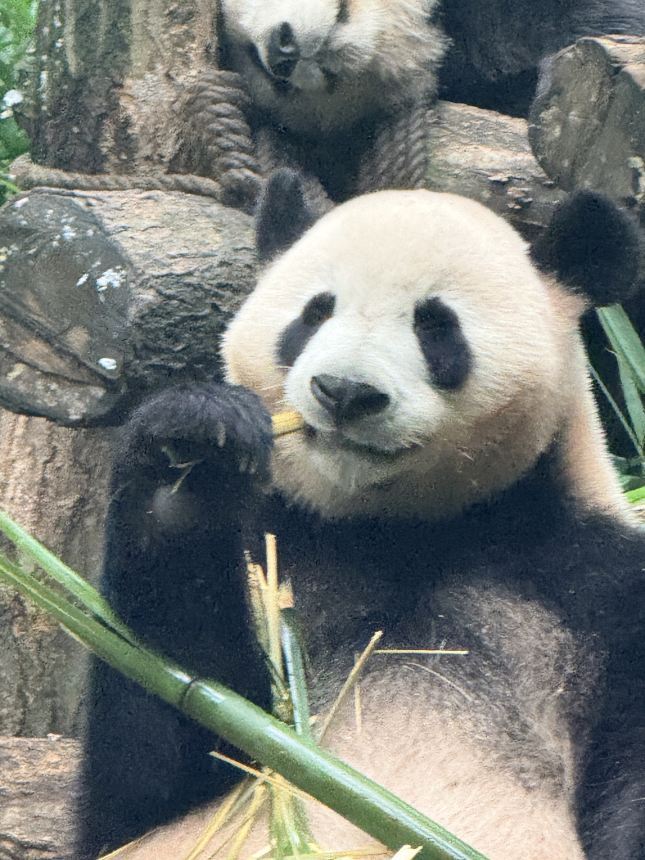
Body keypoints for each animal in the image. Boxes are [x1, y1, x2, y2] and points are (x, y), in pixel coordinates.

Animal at [76, 170, 645, 860]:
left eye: (436, 327)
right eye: (315, 312)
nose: (345, 392)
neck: (393, 533)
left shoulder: (590, 586)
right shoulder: (274, 551)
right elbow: (162, 766)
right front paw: (187, 460)